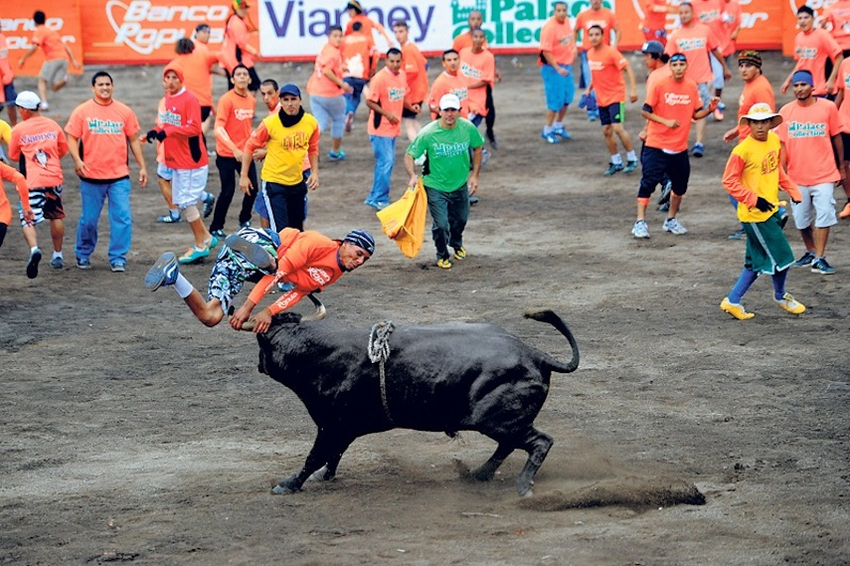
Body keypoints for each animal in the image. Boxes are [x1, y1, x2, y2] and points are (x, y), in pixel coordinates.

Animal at [256, 310, 576, 496]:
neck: (319, 354)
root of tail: (535, 354)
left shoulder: (331, 425)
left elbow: (316, 456)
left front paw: (288, 484)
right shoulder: (342, 428)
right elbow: (332, 455)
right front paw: (323, 477)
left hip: (494, 420)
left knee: (539, 441)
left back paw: (522, 485)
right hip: (501, 421)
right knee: (510, 445)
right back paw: (478, 474)